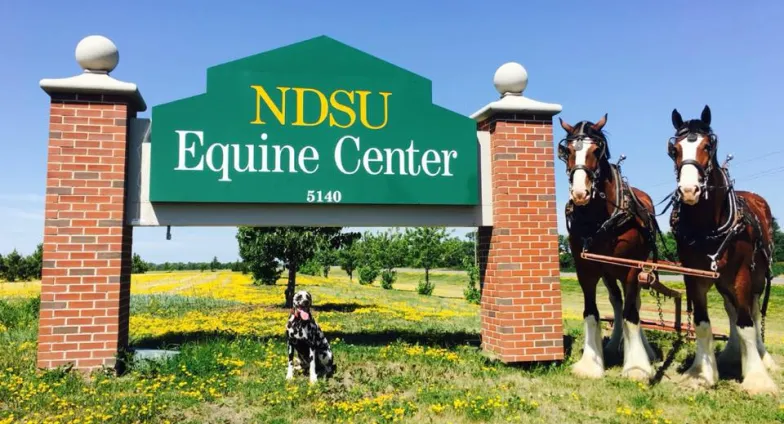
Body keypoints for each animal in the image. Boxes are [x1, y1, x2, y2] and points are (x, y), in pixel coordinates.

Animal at [556, 114, 660, 380]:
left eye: (596, 150)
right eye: (567, 151)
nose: (580, 193)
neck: (601, 218)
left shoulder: (632, 269)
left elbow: (632, 315)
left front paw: (637, 367)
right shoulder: (586, 269)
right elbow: (591, 312)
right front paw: (590, 363)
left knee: (632, 305)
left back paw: (645, 352)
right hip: (608, 272)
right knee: (617, 302)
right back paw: (613, 345)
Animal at [668, 105, 776, 394]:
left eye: (708, 146)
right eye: (674, 149)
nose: (689, 190)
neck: (708, 227)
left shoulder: (742, 275)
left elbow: (747, 323)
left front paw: (757, 378)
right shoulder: (695, 276)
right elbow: (702, 323)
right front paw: (702, 372)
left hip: (755, 278)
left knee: (752, 311)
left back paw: (762, 358)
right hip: (724, 282)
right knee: (731, 310)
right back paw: (733, 353)